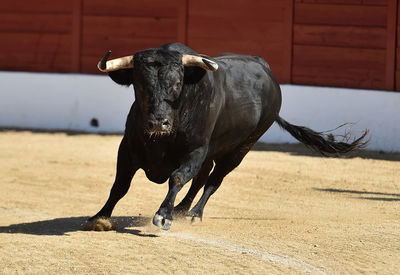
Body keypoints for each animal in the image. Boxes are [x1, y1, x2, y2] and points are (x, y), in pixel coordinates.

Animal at [88, 42, 368, 231]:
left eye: (177, 84)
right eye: (140, 85)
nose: (159, 122)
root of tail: (265, 69)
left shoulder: (195, 150)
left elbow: (177, 177)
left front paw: (164, 215)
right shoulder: (127, 148)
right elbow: (120, 185)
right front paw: (100, 217)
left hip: (242, 148)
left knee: (214, 179)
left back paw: (193, 213)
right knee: (202, 177)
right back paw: (182, 209)